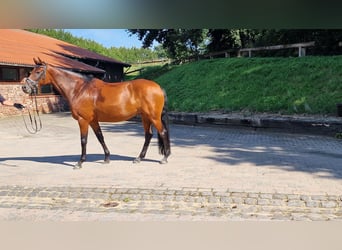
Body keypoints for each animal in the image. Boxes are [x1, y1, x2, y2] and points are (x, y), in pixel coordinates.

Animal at [21, 57, 171, 169]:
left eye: (39, 71)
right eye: (31, 71)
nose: (24, 87)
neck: (79, 89)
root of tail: (157, 87)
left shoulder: (83, 120)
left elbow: (83, 140)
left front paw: (80, 162)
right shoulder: (93, 120)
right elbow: (100, 137)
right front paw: (107, 158)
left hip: (153, 117)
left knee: (162, 132)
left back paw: (165, 158)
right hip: (145, 117)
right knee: (148, 135)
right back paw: (139, 158)